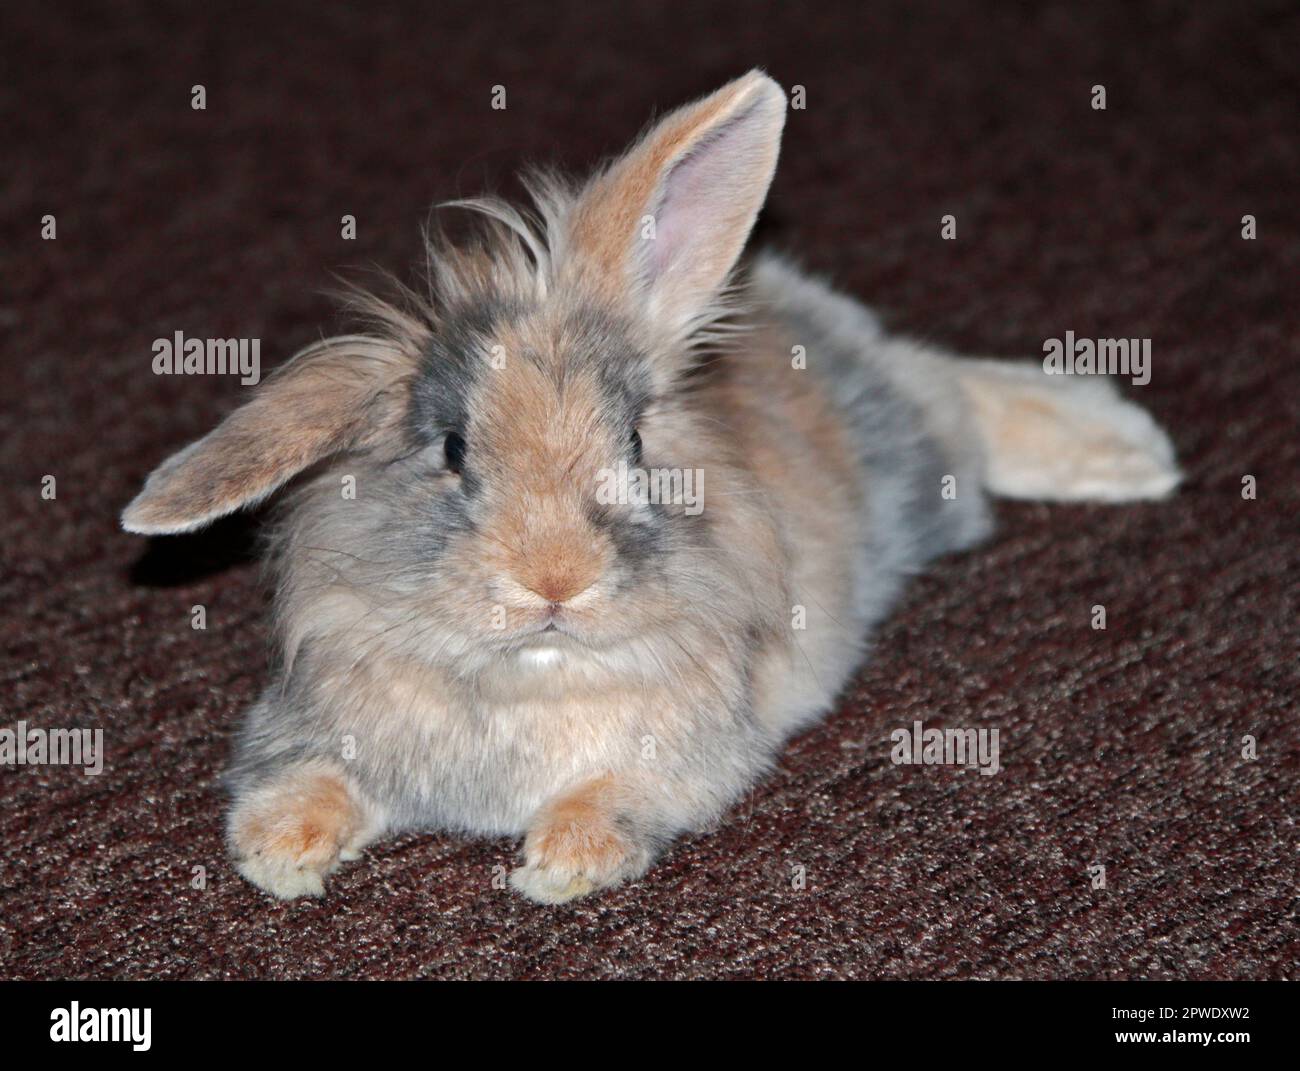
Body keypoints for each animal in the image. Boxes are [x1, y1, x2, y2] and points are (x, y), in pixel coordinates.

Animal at [121, 70, 1181, 903]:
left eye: (633, 444)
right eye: (454, 449)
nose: (555, 580)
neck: (531, 674)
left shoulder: (689, 752)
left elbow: (617, 791)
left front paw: (559, 865)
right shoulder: (304, 720)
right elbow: (308, 778)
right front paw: (279, 855)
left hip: (916, 464)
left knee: (953, 392)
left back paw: (1124, 447)